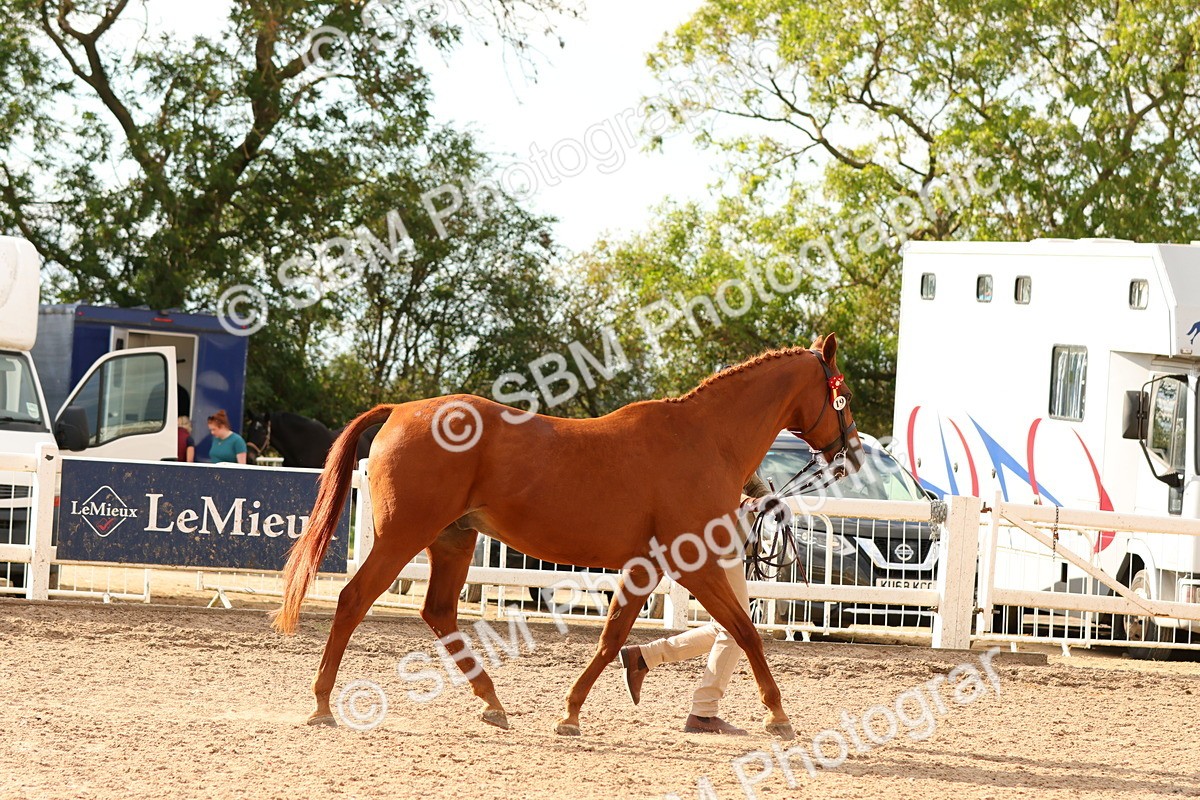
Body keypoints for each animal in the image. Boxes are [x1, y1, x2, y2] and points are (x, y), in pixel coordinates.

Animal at [273, 334, 861, 740]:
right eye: (844, 394)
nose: (851, 452)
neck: (703, 439)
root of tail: (400, 409)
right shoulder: (691, 562)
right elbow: (745, 632)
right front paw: (778, 714)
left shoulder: (647, 565)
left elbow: (612, 639)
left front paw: (572, 712)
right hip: (403, 536)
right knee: (353, 600)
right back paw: (322, 704)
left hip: (453, 540)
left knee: (438, 612)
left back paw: (492, 703)